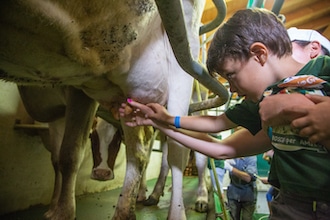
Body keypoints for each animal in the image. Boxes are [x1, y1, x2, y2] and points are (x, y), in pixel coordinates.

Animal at [0, 0, 227, 220]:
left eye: (116, 141)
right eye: (93, 138)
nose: (101, 174)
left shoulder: (79, 91)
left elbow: (70, 154)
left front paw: (63, 212)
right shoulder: (56, 115)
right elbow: (57, 159)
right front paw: (53, 207)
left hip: (184, 67)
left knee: (183, 156)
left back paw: (197, 201)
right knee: (152, 154)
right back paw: (144, 199)